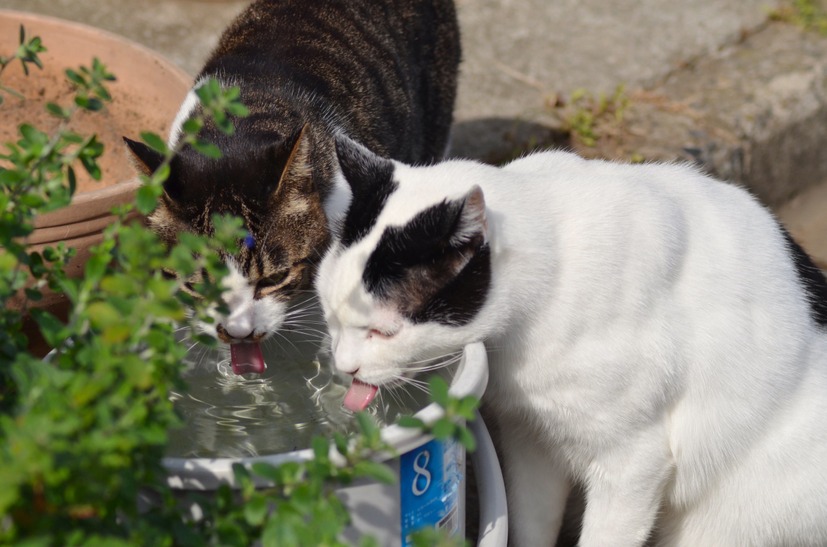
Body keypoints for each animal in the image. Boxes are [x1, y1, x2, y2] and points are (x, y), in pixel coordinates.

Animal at [316, 134, 827, 547]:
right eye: (330, 316)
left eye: (383, 331)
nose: (345, 366)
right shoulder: (532, 440)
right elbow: (531, 524)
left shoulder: (633, 464)